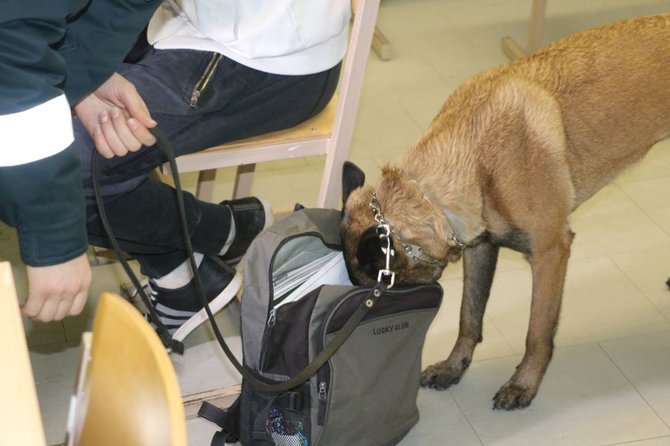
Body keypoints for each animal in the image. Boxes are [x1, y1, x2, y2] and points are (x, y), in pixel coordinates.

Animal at [342, 13, 670, 412]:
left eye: (375, 292)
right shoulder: (481, 248)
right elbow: (469, 317)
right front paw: (453, 367)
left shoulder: (550, 253)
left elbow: (537, 334)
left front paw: (523, 384)